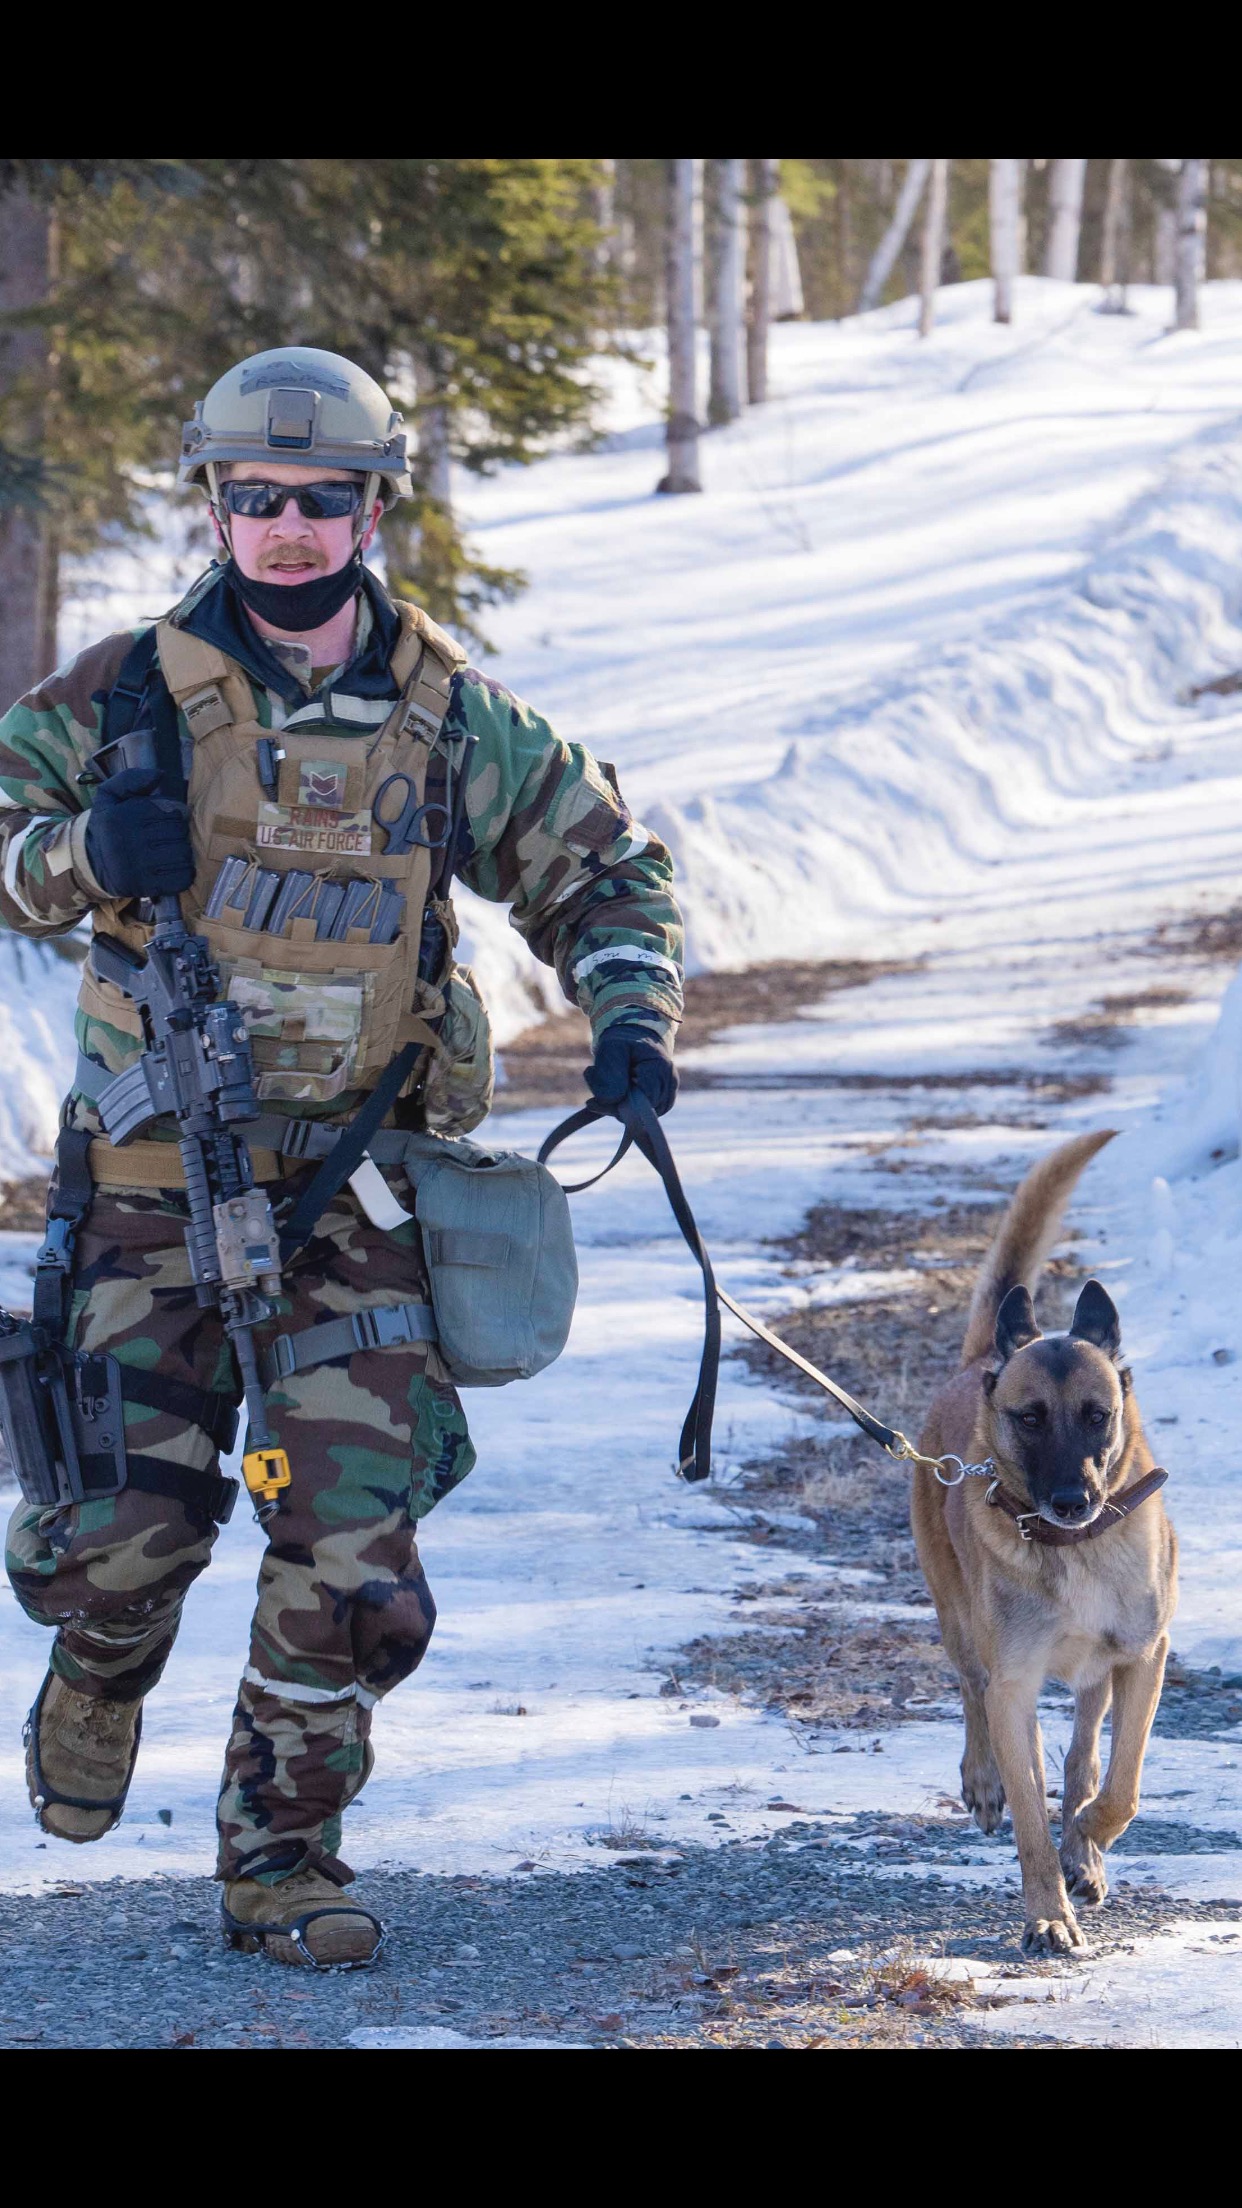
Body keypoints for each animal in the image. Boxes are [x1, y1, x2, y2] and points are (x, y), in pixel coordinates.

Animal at [911, 1129, 1177, 1956]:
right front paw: (1046, 1914)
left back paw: (1084, 1845)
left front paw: (1088, 1837)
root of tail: (978, 1363)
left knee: (1086, 1747)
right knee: (971, 1693)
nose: (1071, 1501)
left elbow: (1121, 1784)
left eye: (1098, 1414)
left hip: (1101, 1672)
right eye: (1029, 1418)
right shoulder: (1015, 1687)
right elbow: (1031, 1816)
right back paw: (983, 1783)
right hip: (959, 1624)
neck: (1076, 1550)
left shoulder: (1144, 1657)